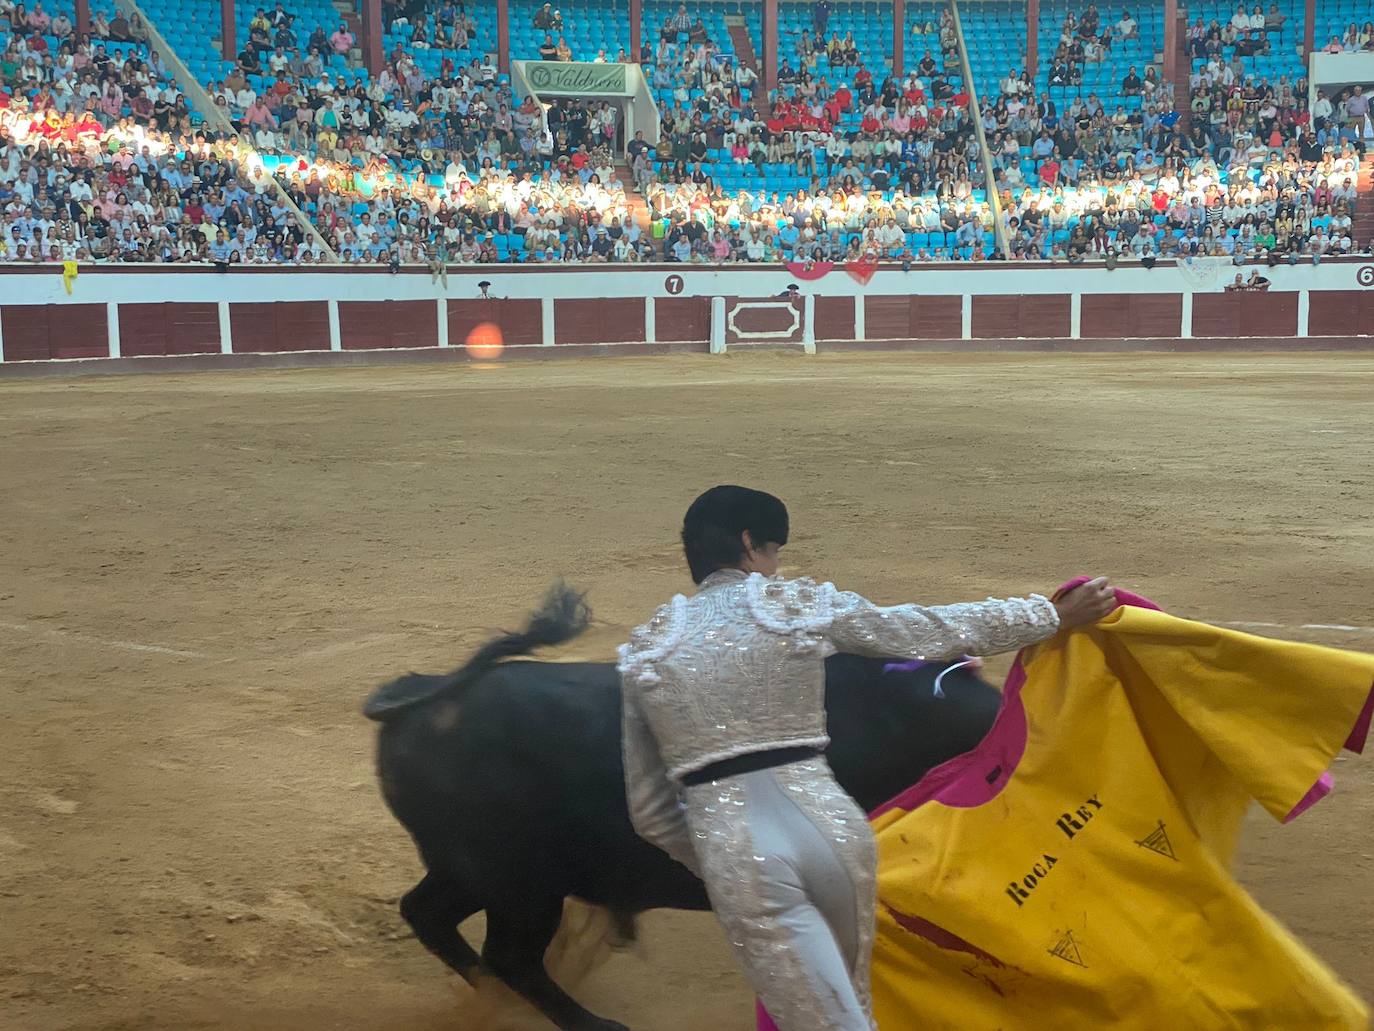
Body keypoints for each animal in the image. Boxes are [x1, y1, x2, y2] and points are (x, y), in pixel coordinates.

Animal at [368, 588, 1000, 1031]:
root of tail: (425, 696)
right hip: (520, 884)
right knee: (511, 957)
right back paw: (592, 1024)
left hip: (473, 872)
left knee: (430, 915)